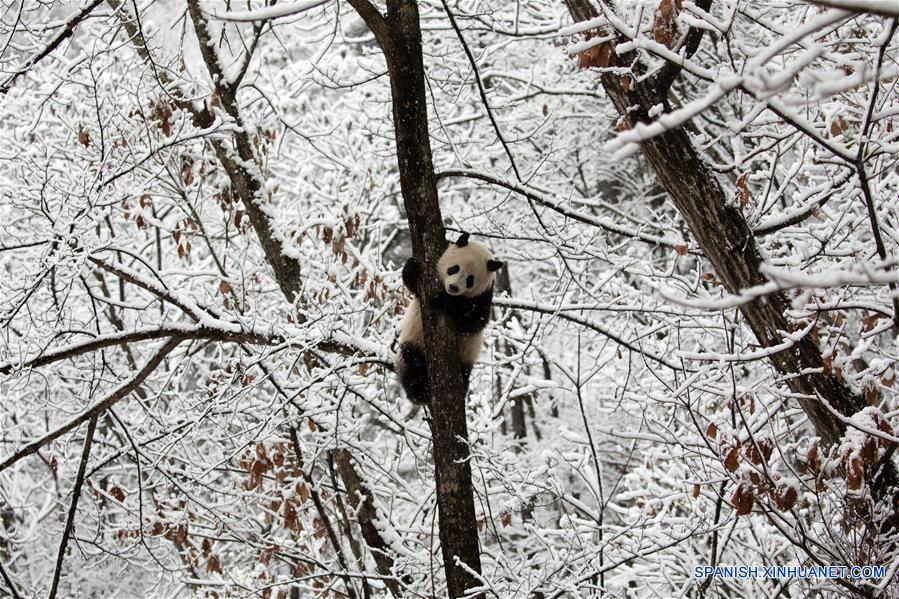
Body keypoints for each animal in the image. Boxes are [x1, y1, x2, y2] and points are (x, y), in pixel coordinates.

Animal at [396, 232, 502, 406]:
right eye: (454, 268)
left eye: (470, 279)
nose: (453, 288)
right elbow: (413, 286)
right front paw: (413, 265)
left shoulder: (484, 296)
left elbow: (474, 321)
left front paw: (441, 299)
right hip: (413, 340)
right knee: (412, 359)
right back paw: (418, 390)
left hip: (466, 355)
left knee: (464, 371)